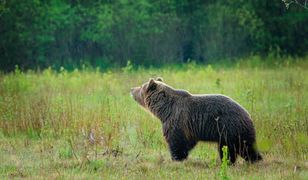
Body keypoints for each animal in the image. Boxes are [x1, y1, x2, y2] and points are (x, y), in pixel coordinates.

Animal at [131, 77, 262, 163]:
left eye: (141, 87)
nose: (132, 89)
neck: (164, 110)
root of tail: (247, 114)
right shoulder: (189, 128)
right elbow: (188, 143)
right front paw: (182, 156)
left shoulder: (176, 120)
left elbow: (176, 141)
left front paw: (176, 158)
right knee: (233, 148)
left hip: (230, 127)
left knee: (242, 147)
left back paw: (252, 159)